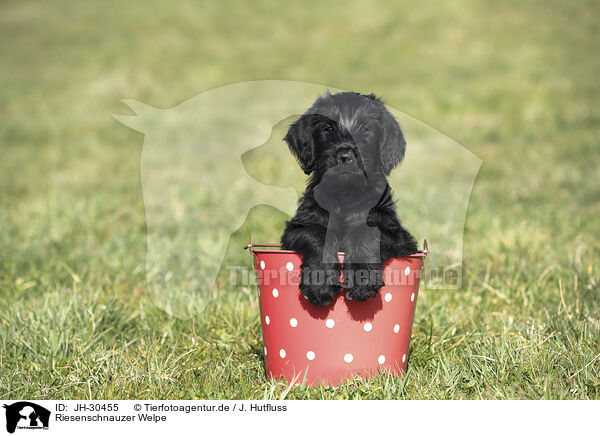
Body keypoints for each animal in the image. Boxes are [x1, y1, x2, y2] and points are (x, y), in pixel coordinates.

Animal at [282, 91, 418, 306]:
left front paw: (363, 280)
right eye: (328, 128)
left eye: (366, 129)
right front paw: (319, 282)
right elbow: (317, 233)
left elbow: (364, 232)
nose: (345, 156)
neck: (345, 194)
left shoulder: (399, 237)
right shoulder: (296, 228)